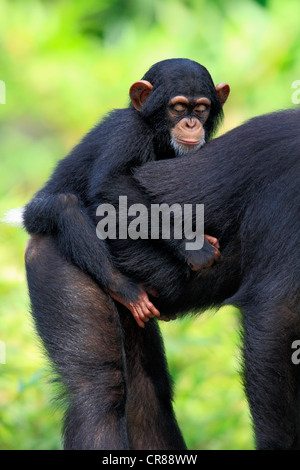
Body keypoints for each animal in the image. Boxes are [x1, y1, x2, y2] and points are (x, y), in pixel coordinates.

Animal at [23, 57, 230, 326]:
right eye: (178, 107)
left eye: (201, 108)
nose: (191, 123)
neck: (155, 131)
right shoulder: (129, 132)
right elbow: (113, 183)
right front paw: (193, 244)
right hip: (36, 213)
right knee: (65, 205)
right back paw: (124, 289)